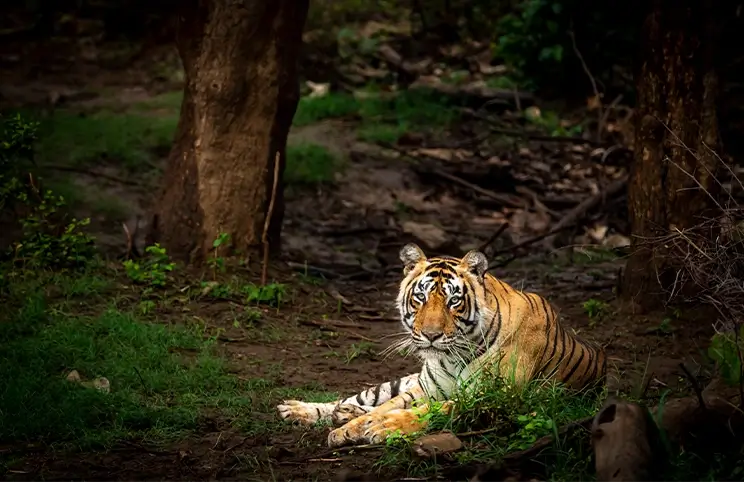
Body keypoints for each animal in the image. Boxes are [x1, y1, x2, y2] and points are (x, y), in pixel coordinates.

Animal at [277, 243, 607, 448]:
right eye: (421, 297)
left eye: (453, 300)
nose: (431, 335)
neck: (452, 356)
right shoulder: (427, 389)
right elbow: (386, 407)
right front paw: (348, 429)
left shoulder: (492, 398)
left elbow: (425, 412)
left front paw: (383, 428)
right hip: (404, 382)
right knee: (361, 398)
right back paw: (300, 410)